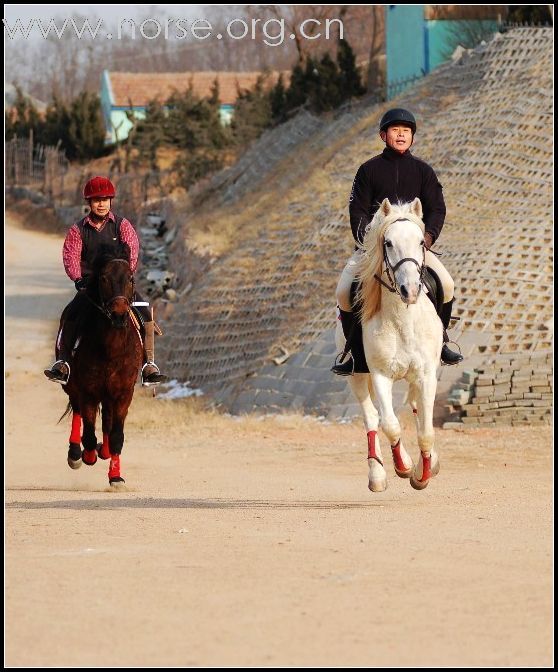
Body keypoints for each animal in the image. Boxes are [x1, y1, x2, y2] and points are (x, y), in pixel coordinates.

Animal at [61, 244, 143, 486]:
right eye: (104, 278)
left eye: (130, 278)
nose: (118, 314)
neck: (111, 349)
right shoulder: (88, 390)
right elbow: (88, 434)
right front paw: (86, 456)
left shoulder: (124, 393)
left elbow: (116, 435)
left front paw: (115, 477)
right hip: (73, 387)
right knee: (78, 412)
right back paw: (75, 454)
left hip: (109, 395)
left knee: (106, 420)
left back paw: (104, 451)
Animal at [336, 197, 446, 490]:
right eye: (388, 243)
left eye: (421, 242)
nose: (410, 290)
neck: (402, 319)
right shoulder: (380, 375)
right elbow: (391, 425)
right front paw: (404, 467)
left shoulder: (427, 374)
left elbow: (426, 431)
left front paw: (423, 474)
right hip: (356, 377)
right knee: (373, 417)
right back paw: (377, 474)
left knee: (416, 408)